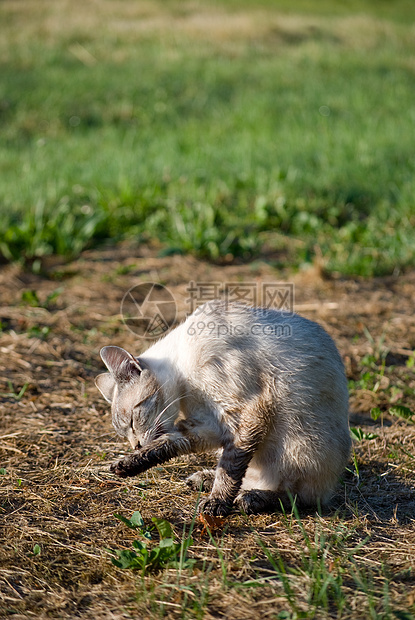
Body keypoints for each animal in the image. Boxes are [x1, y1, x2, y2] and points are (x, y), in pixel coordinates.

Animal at [95, 298, 352, 516]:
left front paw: (216, 503)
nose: (136, 444)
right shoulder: (208, 425)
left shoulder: (245, 414)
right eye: (124, 434)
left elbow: (230, 468)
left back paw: (252, 498)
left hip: (298, 446)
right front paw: (127, 464)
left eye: (132, 421)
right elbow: (166, 446)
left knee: (303, 496)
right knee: (251, 477)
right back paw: (204, 479)